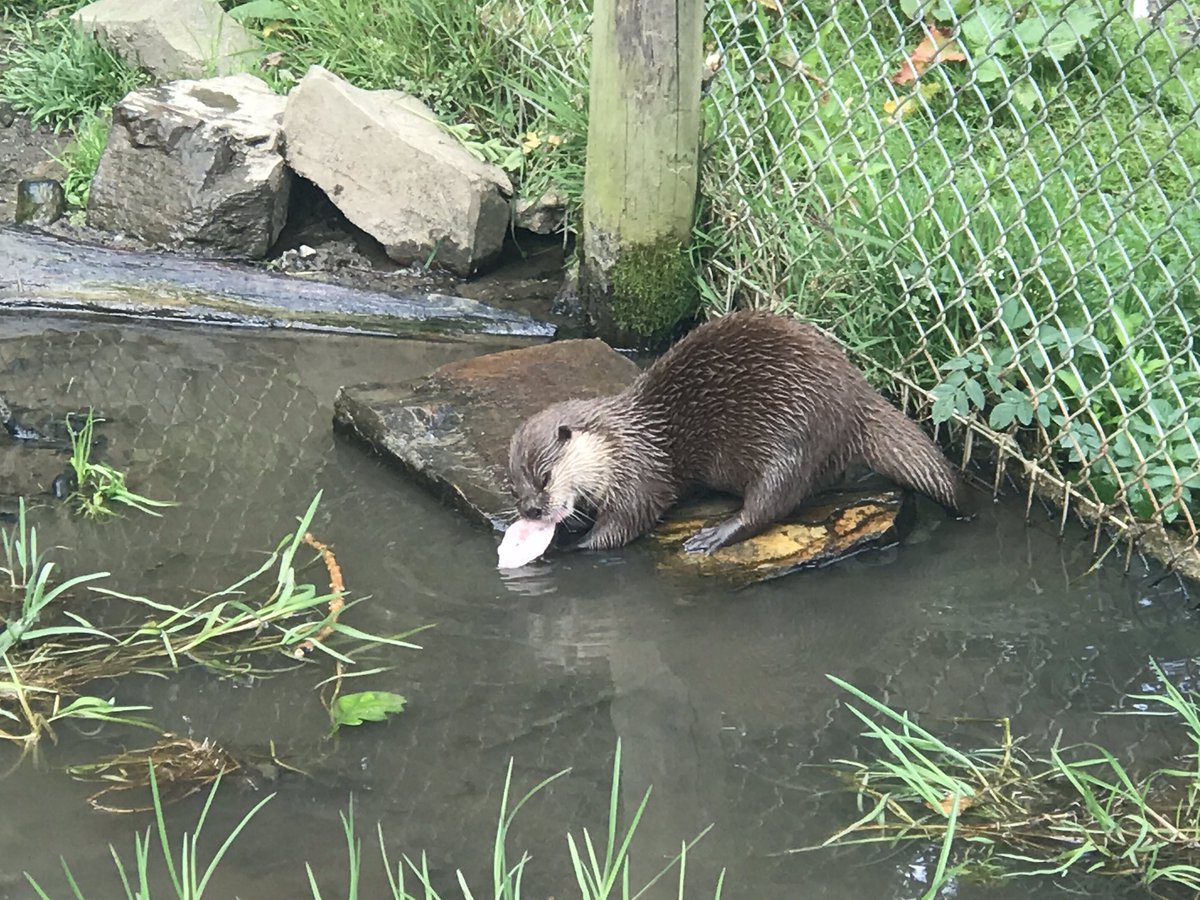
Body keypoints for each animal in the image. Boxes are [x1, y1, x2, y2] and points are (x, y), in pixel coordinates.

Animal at [508, 311, 971, 554]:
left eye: (545, 477)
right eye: (515, 486)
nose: (531, 511)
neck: (622, 443)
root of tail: (857, 398)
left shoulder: (641, 476)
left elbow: (626, 523)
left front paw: (569, 547)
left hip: (795, 440)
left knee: (771, 503)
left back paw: (715, 535)